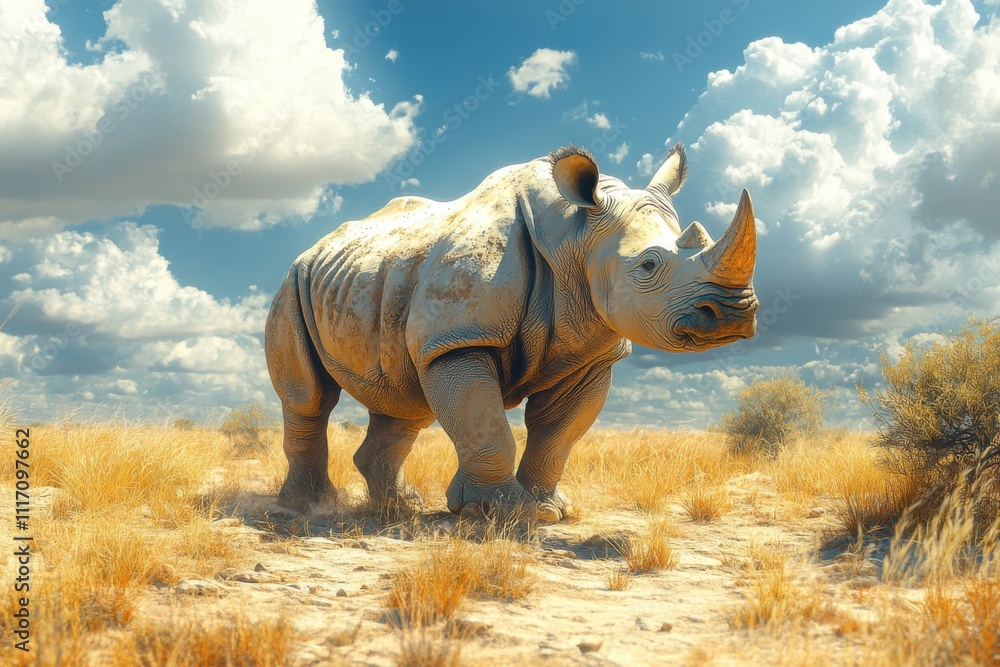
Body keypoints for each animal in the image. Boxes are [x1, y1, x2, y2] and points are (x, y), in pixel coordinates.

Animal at [264, 143, 758, 521]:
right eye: (649, 265)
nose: (734, 312)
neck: (574, 236)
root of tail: (316, 247)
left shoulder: (590, 352)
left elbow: (558, 433)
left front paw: (548, 511)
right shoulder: (462, 336)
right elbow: (486, 425)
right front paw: (498, 513)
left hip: (382, 280)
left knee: (406, 401)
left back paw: (401, 508)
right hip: (293, 283)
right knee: (310, 398)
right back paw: (307, 508)